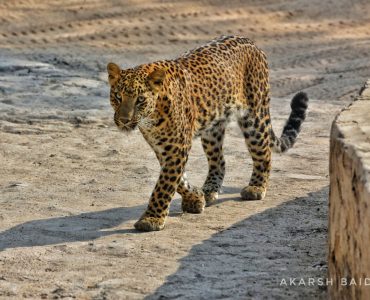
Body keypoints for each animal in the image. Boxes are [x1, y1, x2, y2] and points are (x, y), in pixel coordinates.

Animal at [107, 35, 310, 232]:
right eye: (117, 96)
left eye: (140, 100)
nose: (124, 120)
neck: (151, 116)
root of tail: (251, 43)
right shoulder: (162, 147)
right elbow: (179, 180)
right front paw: (195, 199)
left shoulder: (176, 148)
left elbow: (164, 185)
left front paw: (152, 218)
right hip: (212, 131)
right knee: (219, 161)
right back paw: (210, 189)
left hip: (254, 117)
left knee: (264, 152)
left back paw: (256, 187)